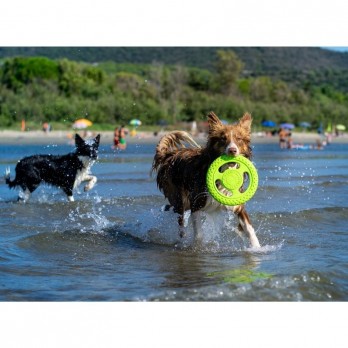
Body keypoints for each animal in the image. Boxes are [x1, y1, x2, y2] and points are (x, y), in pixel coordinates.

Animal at [151, 111, 260, 247]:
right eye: (223, 139)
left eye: (239, 139)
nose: (232, 150)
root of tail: (168, 155)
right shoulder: (196, 203)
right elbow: (198, 234)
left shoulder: (237, 204)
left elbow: (249, 229)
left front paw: (257, 247)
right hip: (179, 198)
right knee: (180, 222)